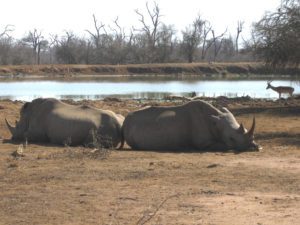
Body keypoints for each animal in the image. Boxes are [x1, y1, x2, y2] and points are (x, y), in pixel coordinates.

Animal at [122, 100, 260, 151]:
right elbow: (224, 146)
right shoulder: (204, 143)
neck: (215, 122)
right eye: (232, 139)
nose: (251, 146)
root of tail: (125, 119)